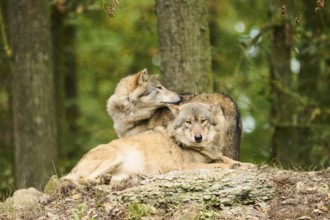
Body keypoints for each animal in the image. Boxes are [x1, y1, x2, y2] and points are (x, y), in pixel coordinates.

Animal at [61, 102, 248, 187]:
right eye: (188, 122)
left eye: (202, 121)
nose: (198, 137)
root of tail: (74, 167)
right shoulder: (186, 167)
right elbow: (217, 165)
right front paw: (232, 167)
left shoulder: (214, 155)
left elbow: (226, 159)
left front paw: (244, 164)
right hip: (114, 156)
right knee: (81, 179)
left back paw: (107, 180)